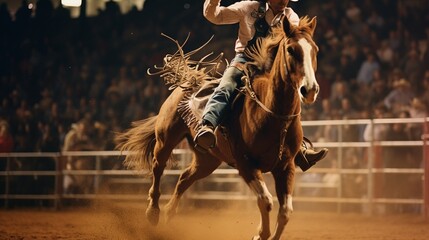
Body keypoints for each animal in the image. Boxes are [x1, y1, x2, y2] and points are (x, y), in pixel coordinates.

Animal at [117, 15, 318, 240]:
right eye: (291, 50)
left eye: (315, 50)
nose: (310, 90)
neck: (272, 114)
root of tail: (188, 81)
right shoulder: (246, 164)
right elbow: (265, 201)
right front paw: (260, 234)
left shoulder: (286, 166)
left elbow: (285, 212)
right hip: (165, 139)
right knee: (158, 168)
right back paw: (153, 212)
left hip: (208, 159)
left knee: (184, 178)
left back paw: (169, 214)